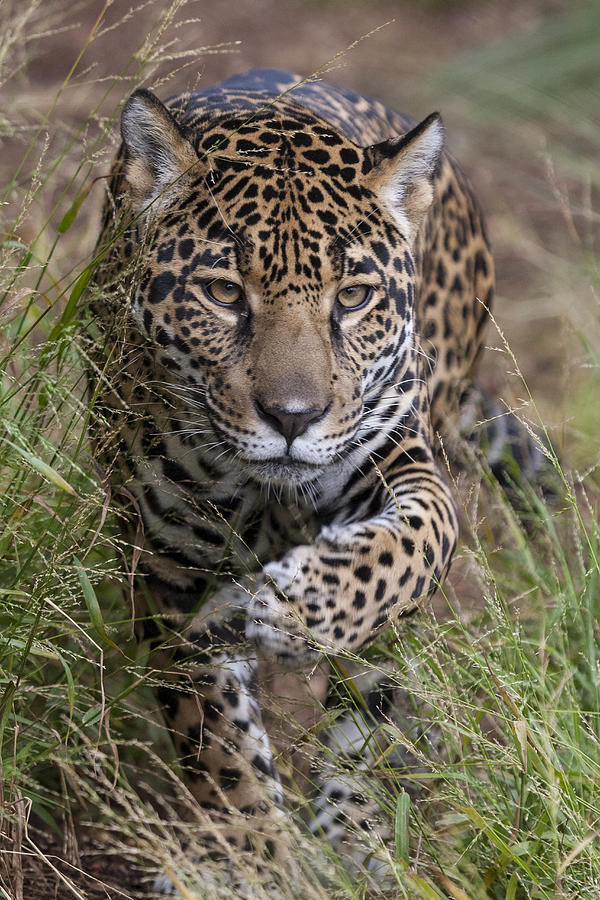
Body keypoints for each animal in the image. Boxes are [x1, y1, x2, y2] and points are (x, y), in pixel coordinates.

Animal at [88, 66, 511, 892]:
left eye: (352, 298)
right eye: (224, 294)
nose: (292, 416)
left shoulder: (400, 463)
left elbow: (407, 548)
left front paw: (298, 607)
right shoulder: (167, 573)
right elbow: (215, 736)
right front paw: (252, 855)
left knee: (378, 698)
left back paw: (359, 829)